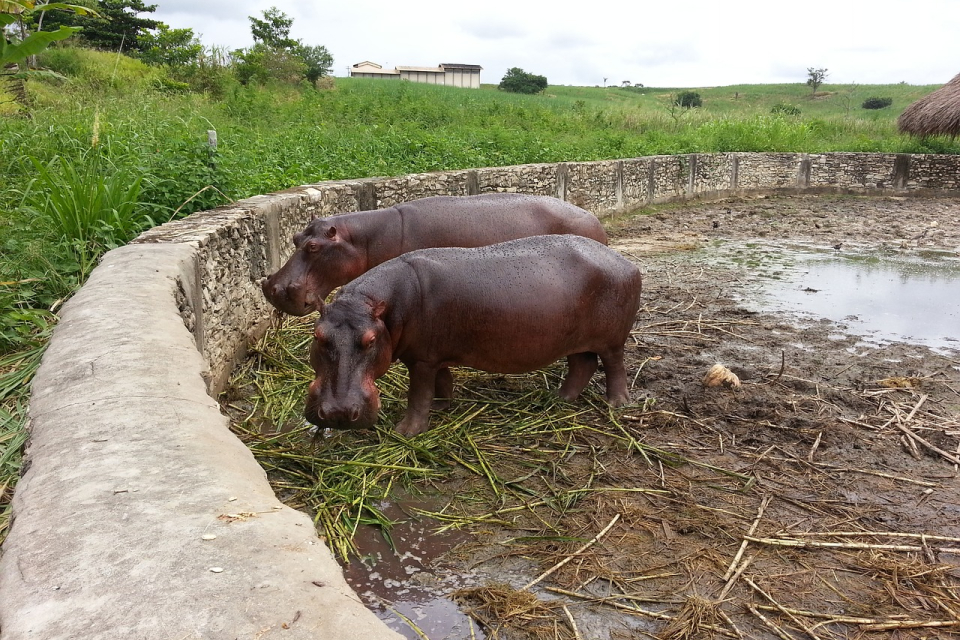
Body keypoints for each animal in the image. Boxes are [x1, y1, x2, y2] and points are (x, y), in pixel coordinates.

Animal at [304, 238, 640, 438]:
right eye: (318, 336)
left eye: (371, 340)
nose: (337, 413)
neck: (374, 305)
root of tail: (624, 261)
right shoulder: (433, 355)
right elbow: (442, 382)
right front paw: (442, 408)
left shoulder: (422, 360)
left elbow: (418, 395)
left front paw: (406, 432)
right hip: (575, 340)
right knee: (582, 365)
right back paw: (560, 398)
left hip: (613, 341)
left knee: (614, 367)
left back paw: (616, 405)